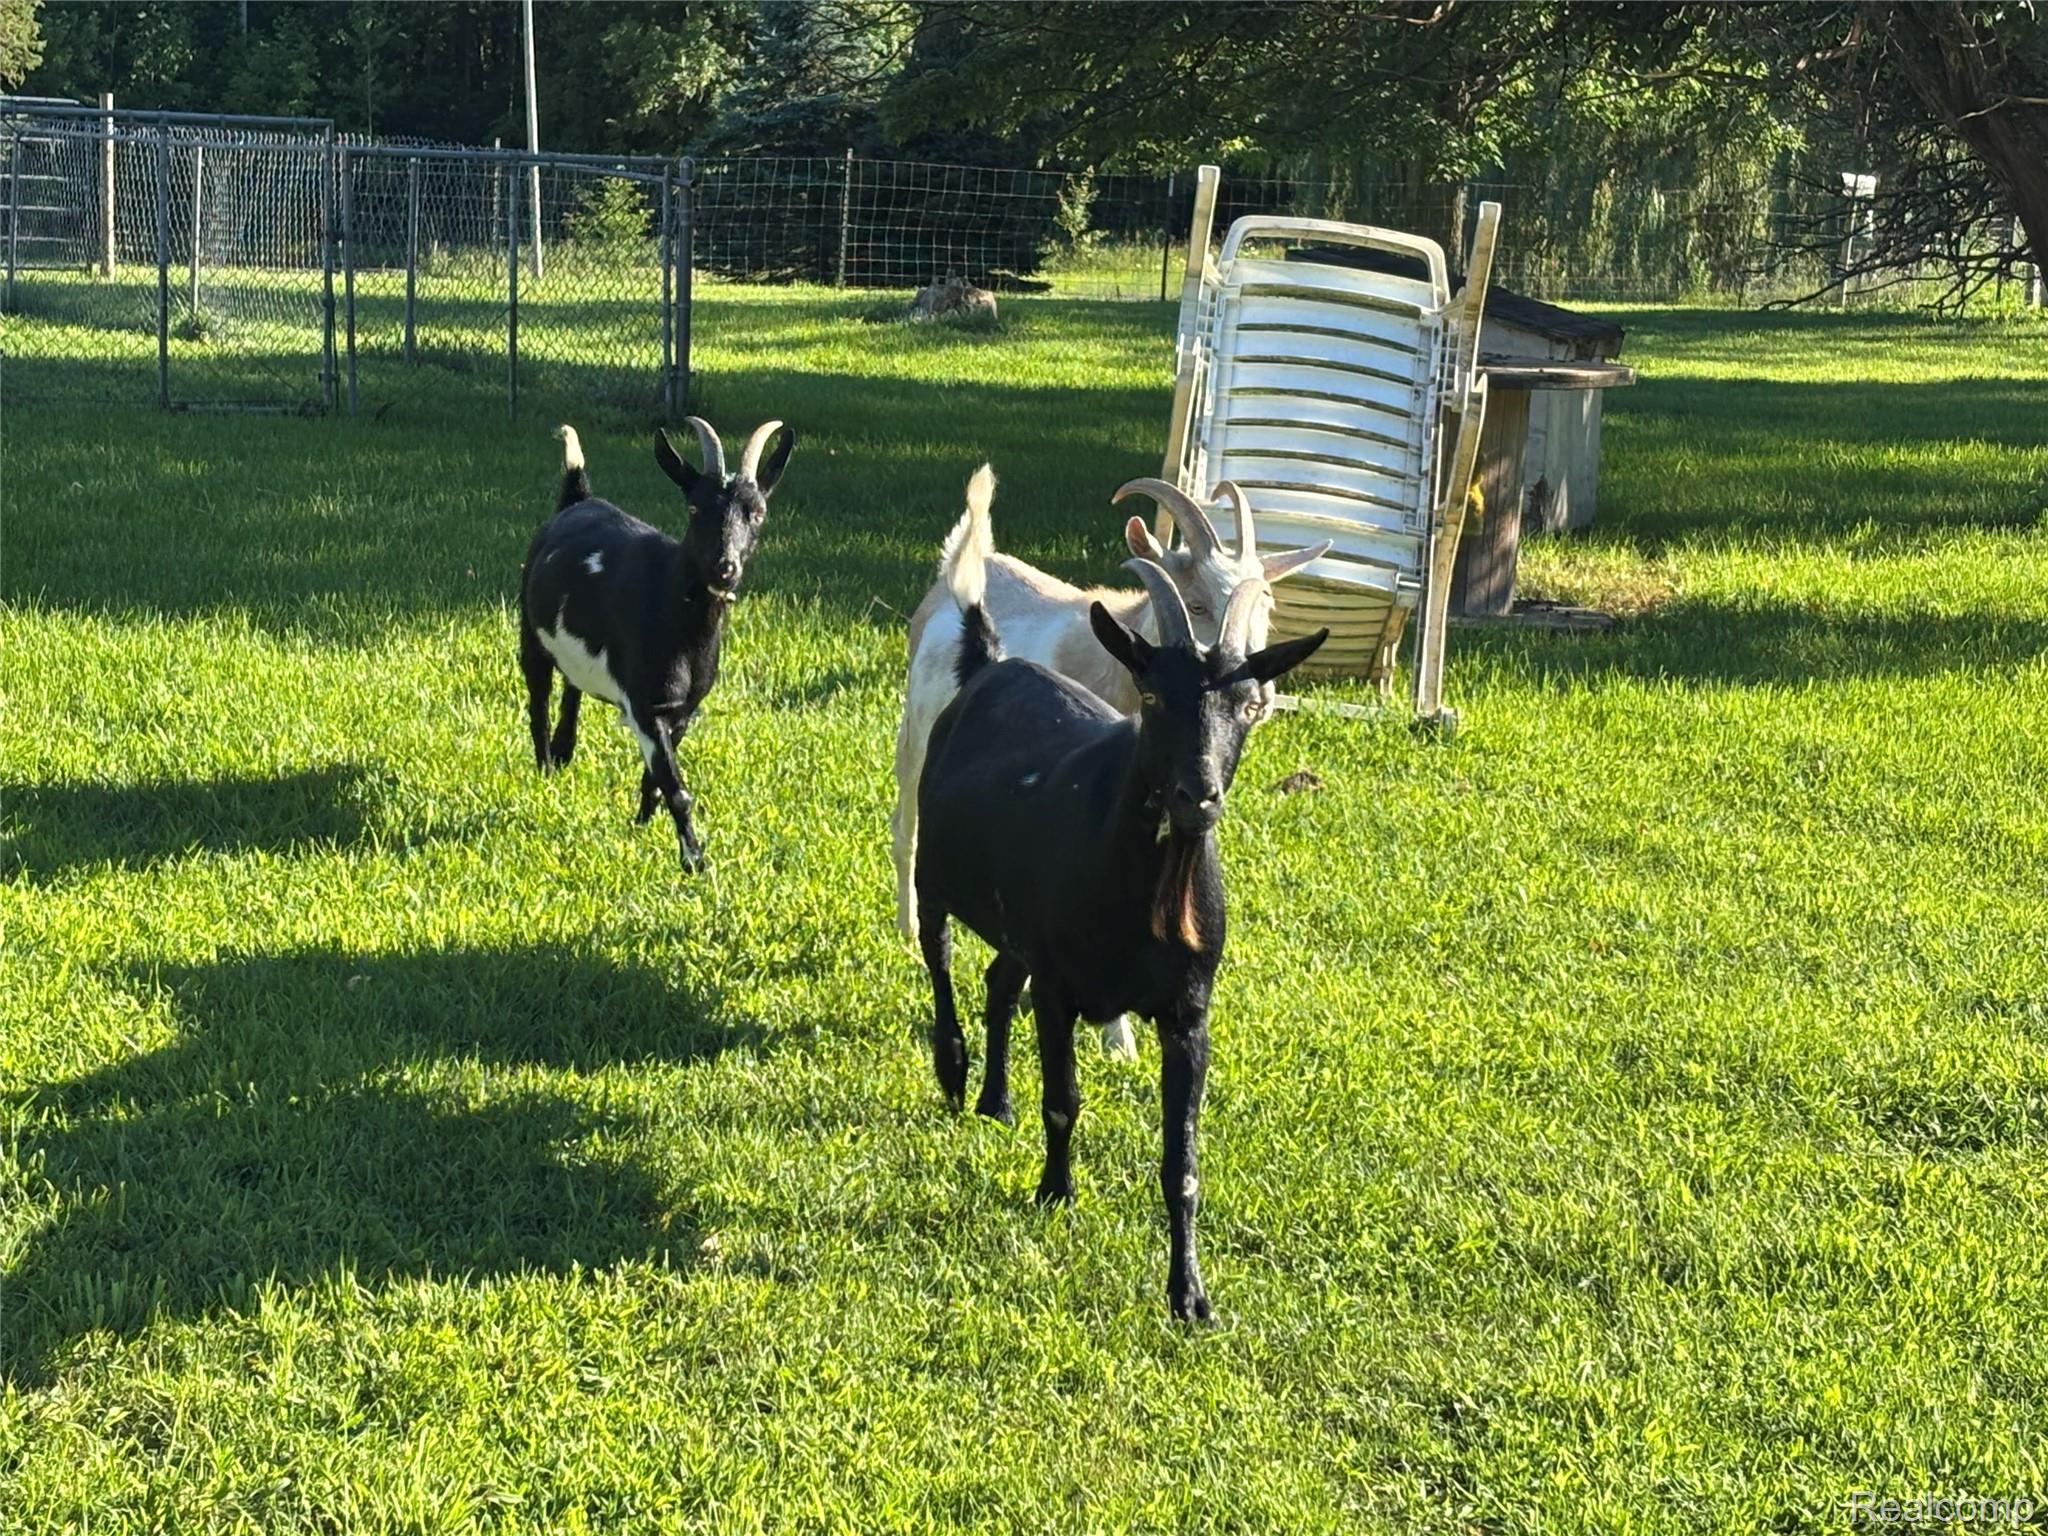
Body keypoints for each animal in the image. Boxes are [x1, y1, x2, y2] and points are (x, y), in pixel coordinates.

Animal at [518, 417, 795, 871]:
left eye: (757, 512)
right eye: (695, 508)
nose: (724, 568)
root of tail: (577, 499)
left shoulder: (682, 710)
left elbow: (657, 778)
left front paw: (642, 823)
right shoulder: (648, 707)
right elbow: (677, 789)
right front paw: (695, 861)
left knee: (573, 685)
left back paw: (562, 751)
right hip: (530, 631)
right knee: (538, 697)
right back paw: (544, 767)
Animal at [891, 467, 1330, 1055]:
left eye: (1268, 608)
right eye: (1196, 604)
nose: (1259, 697)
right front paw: (1118, 1040)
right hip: (916, 739)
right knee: (906, 829)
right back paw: (908, 930)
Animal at [914, 503, 1327, 1321]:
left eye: (1244, 704)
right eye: (1155, 696)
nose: (1197, 795)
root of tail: (990, 661)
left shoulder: (1188, 1011)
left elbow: (1182, 1160)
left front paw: (1190, 1295)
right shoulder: (1060, 988)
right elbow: (1064, 1100)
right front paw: (1055, 1192)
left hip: (1020, 923)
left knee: (997, 981)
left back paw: (994, 1100)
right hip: (932, 867)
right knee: (938, 954)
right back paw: (953, 1069)